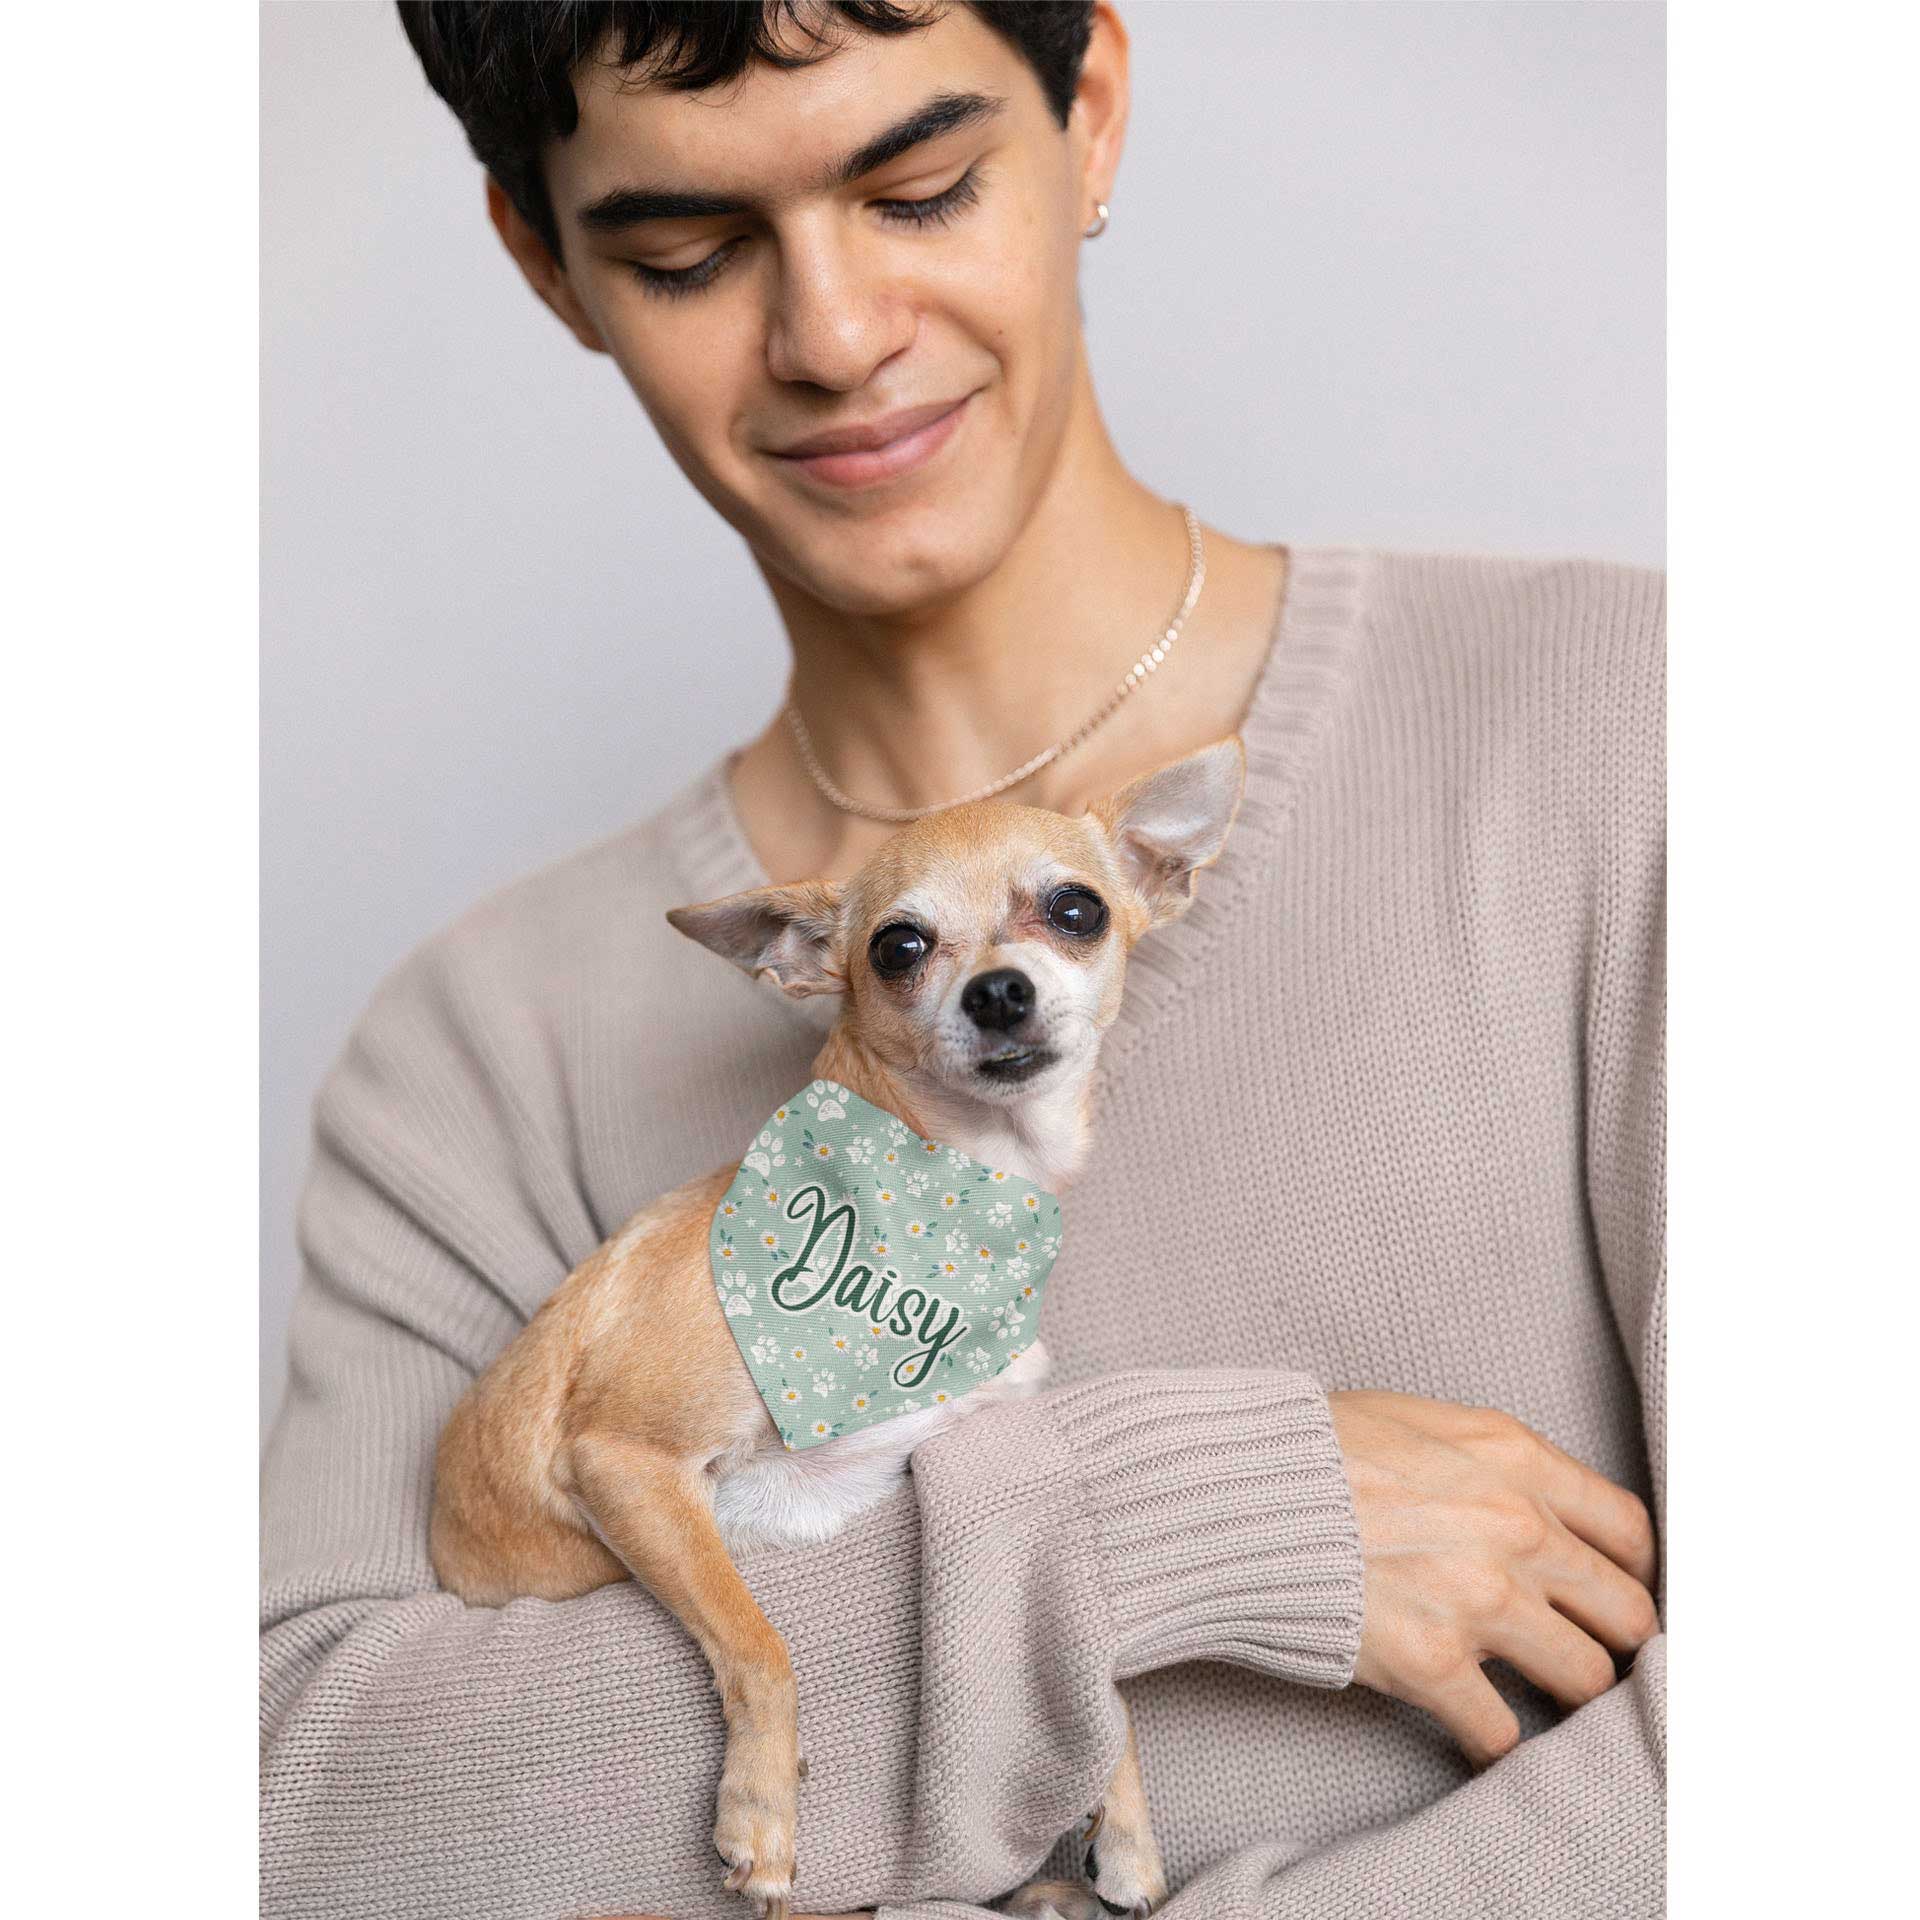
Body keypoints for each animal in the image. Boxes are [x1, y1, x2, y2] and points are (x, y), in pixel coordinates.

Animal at [430, 733, 1251, 1920]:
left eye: (1078, 910)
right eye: (898, 947)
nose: (999, 990)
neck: (947, 1199)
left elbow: (1092, 1675)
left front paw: (1127, 1830)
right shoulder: (627, 1464)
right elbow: (758, 1644)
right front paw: (761, 1815)